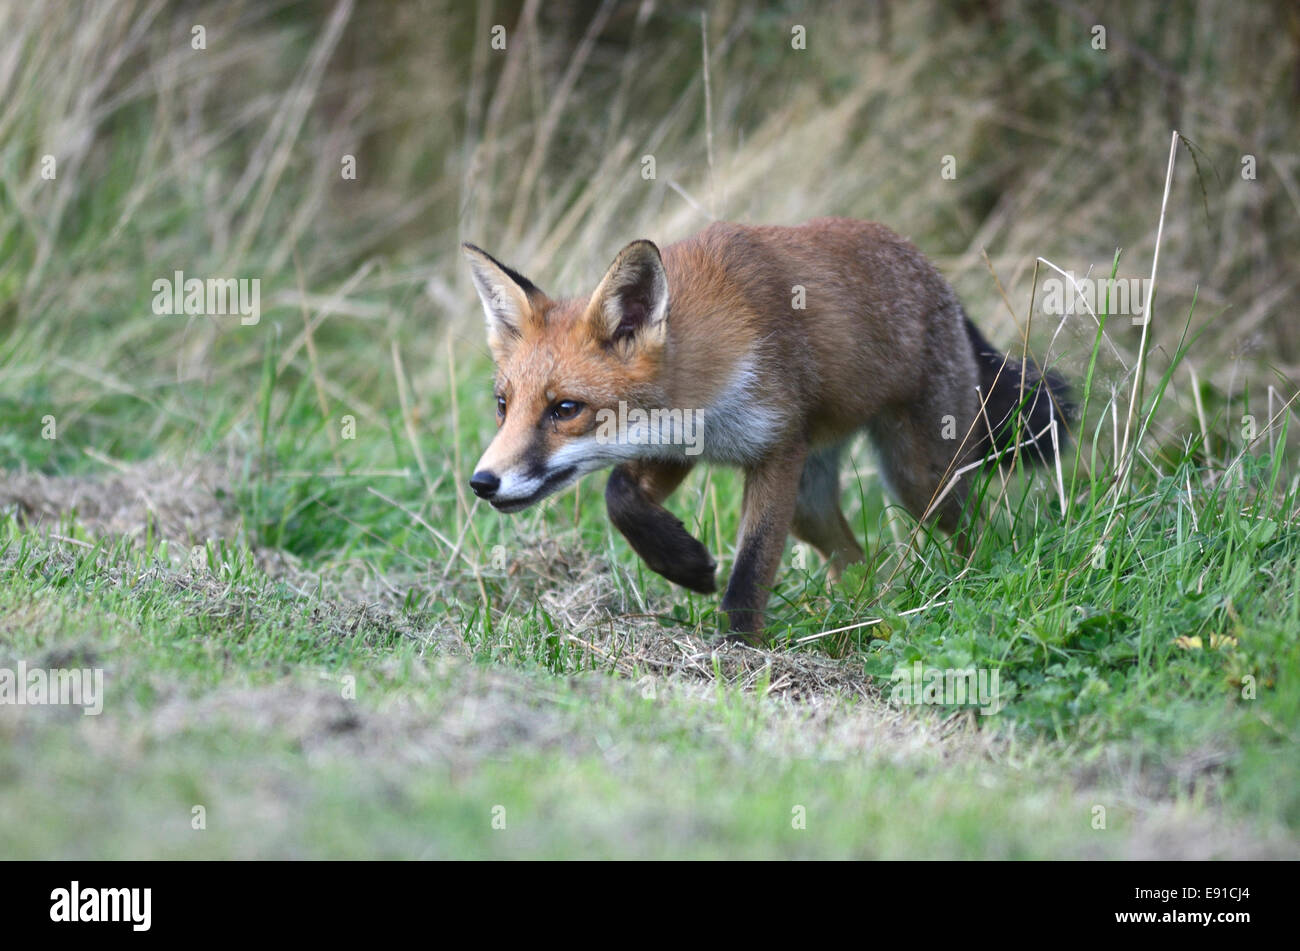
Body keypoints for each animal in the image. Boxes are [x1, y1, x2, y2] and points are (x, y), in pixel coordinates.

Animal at [464, 217, 1069, 643]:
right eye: (503, 406)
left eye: (565, 408)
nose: (482, 483)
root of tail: (933, 271)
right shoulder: (678, 444)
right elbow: (620, 496)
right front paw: (684, 564)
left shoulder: (776, 450)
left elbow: (750, 571)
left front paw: (739, 652)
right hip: (810, 503)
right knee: (855, 558)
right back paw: (858, 612)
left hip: (919, 480)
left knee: (974, 532)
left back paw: (967, 588)